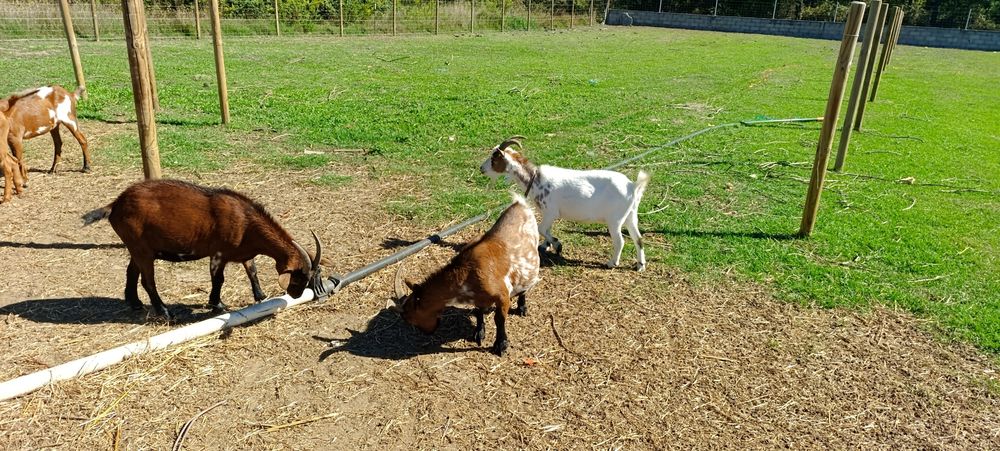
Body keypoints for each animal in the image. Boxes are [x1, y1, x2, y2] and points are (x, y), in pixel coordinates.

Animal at [82, 179, 322, 320]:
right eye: (299, 276)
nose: (296, 294)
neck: (246, 222)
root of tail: (115, 205)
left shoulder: (245, 254)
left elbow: (252, 271)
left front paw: (260, 296)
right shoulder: (218, 254)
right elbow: (218, 280)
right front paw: (217, 305)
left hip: (137, 248)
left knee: (131, 272)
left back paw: (134, 303)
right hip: (141, 248)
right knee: (147, 281)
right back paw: (164, 311)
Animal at [389, 194, 540, 356]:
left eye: (409, 318)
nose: (428, 332)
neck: (467, 273)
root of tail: (519, 203)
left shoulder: (503, 296)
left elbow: (499, 319)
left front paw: (500, 345)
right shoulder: (479, 297)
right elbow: (479, 311)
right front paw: (479, 333)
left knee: (525, 287)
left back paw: (522, 307)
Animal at [480, 137, 650, 271]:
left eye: (494, 159)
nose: (481, 169)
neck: (535, 180)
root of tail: (632, 186)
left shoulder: (551, 211)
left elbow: (541, 228)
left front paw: (556, 244)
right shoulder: (547, 214)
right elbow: (546, 229)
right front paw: (546, 245)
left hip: (615, 219)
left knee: (620, 241)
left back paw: (612, 263)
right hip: (631, 215)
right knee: (638, 239)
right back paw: (640, 265)